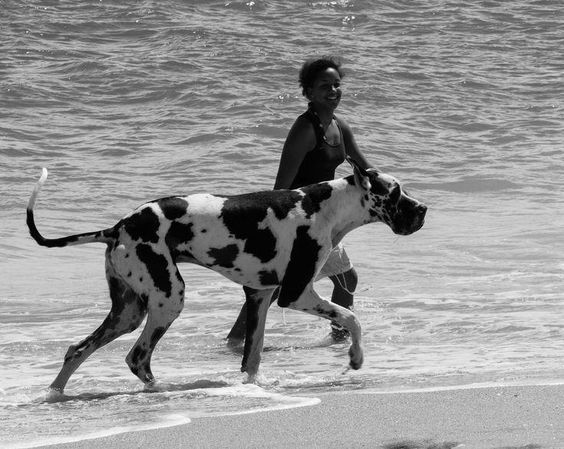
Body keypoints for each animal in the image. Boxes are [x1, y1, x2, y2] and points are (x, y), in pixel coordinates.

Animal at [25, 158, 424, 392]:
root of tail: (118, 226)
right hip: (168, 300)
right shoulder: (295, 294)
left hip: (128, 313)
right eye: (396, 192)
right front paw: (355, 358)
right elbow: (352, 318)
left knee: (77, 349)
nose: (423, 208)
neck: (325, 207)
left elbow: (253, 357)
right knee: (137, 358)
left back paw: (55, 394)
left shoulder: (260, 296)